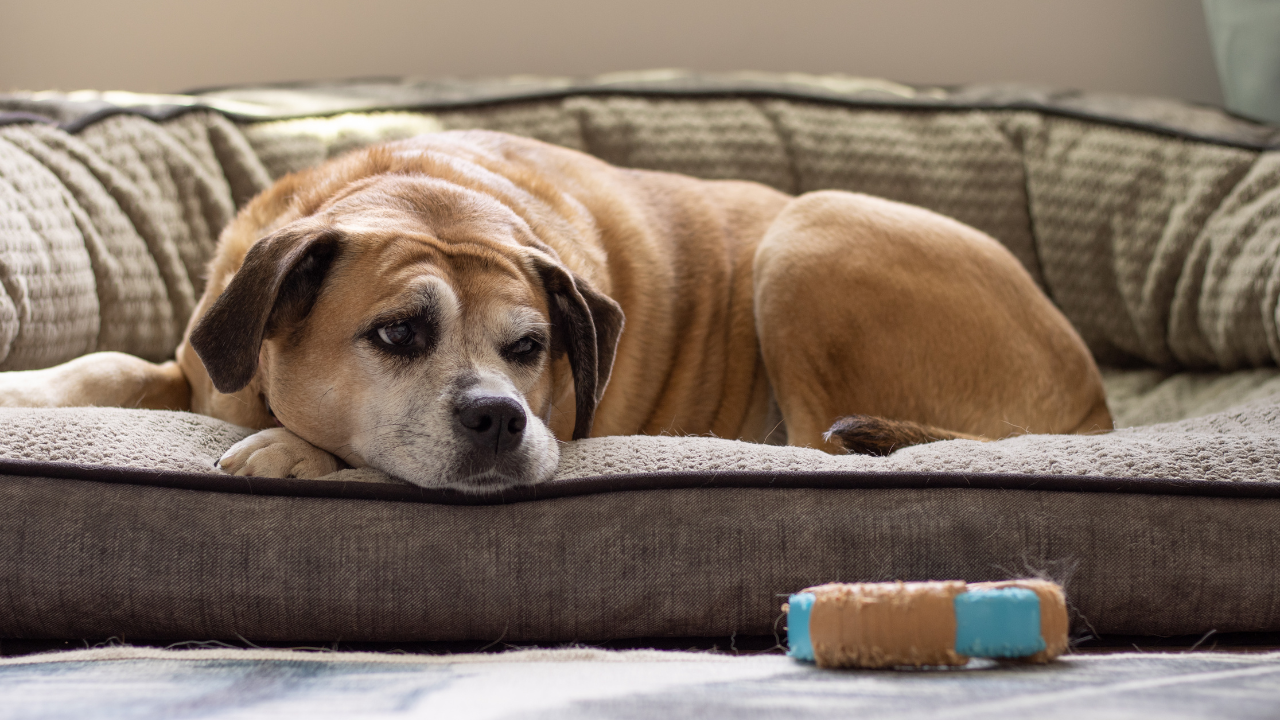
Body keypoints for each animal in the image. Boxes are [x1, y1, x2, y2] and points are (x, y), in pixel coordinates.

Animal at [0, 128, 1111, 489]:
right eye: (397, 333)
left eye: (531, 347)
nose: (500, 416)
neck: (417, 190)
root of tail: (1095, 401)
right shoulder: (196, 357)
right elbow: (108, 366)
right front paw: (23, 388)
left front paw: (292, 449)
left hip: (806, 240)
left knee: (815, 447)